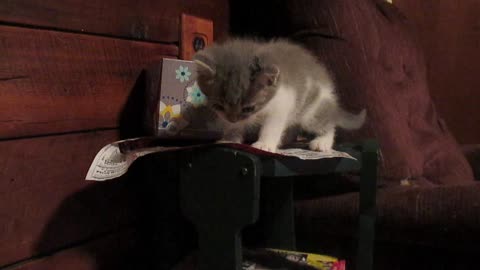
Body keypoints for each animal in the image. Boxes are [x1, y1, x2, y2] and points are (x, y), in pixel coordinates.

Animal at [191, 38, 364, 152]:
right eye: (219, 106)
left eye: (248, 108)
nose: (232, 119)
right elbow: (235, 127)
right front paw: (229, 137)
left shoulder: (283, 102)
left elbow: (272, 125)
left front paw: (265, 144)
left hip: (312, 109)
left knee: (328, 123)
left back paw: (323, 142)